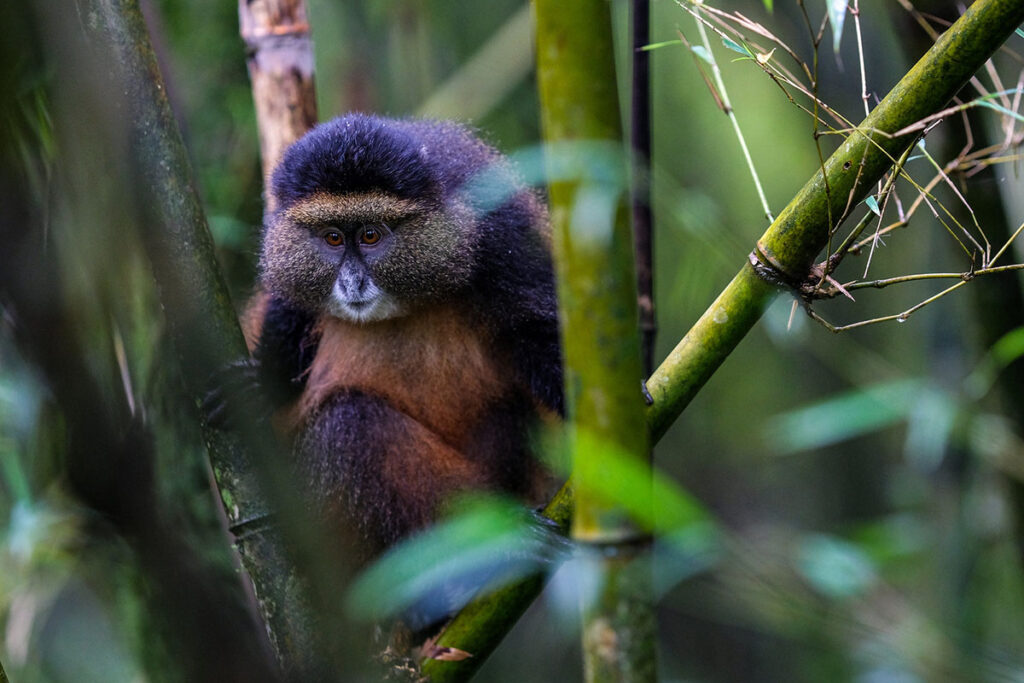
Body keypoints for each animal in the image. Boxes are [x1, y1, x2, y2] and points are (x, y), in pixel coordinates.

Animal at [225, 113, 564, 568]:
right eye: (333, 238)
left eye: (371, 235)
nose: (352, 282)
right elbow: (288, 306)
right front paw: (261, 386)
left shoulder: (501, 230)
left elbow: (535, 326)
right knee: (353, 422)